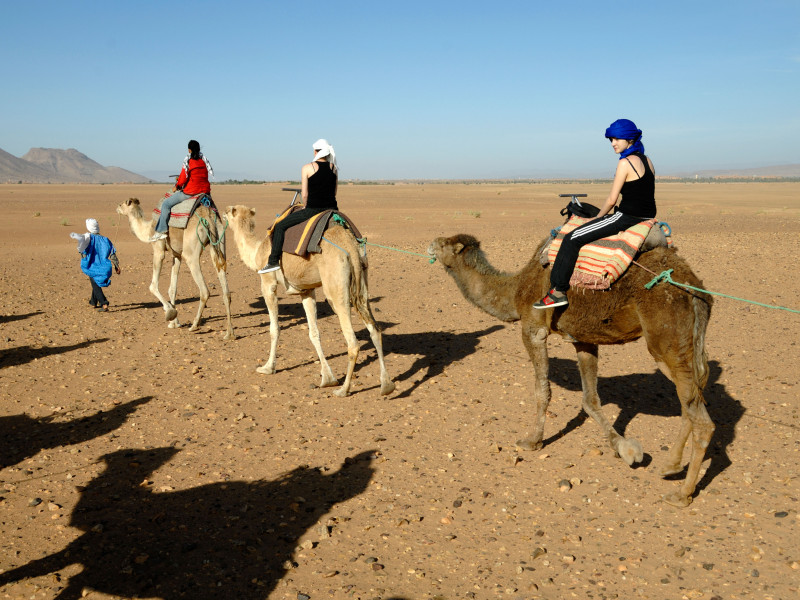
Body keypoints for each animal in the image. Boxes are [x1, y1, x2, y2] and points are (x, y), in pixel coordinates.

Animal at [116, 196, 234, 338]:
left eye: (121, 204)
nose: (116, 208)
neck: (148, 229)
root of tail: (208, 217)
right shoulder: (176, 255)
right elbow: (172, 289)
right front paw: (174, 323)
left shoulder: (158, 250)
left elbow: (153, 286)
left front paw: (170, 312)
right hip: (219, 240)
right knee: (226, 290)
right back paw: (229, 333)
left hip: (191, 253)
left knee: (204, 290)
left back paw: (194, 325)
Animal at [223, 206, 396, 398]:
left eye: (230, 211)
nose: (222, 213)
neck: (257, 251)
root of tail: (349, 244)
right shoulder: (306, 290)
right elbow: (314, 333)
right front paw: (327, 378)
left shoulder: (268, 282)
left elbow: (274, 329)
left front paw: (267, 367)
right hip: (362, 279)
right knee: (375, 329)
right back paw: (386, 385)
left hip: (335, 287)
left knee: (352, 341)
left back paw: (343, 390)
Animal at [428, 234, 716, 506]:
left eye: (443, 245)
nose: (430, 245)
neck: (516, 289)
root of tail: (696, 289)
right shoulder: (583, 339)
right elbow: (590, 400)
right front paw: (624, 447)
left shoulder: (533, 328)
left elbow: (542, 392)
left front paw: (531, 441)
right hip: (685, 345)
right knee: (691, 399)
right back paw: (670, 466)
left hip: (665, 337)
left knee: (701, 418)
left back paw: (681, 495)